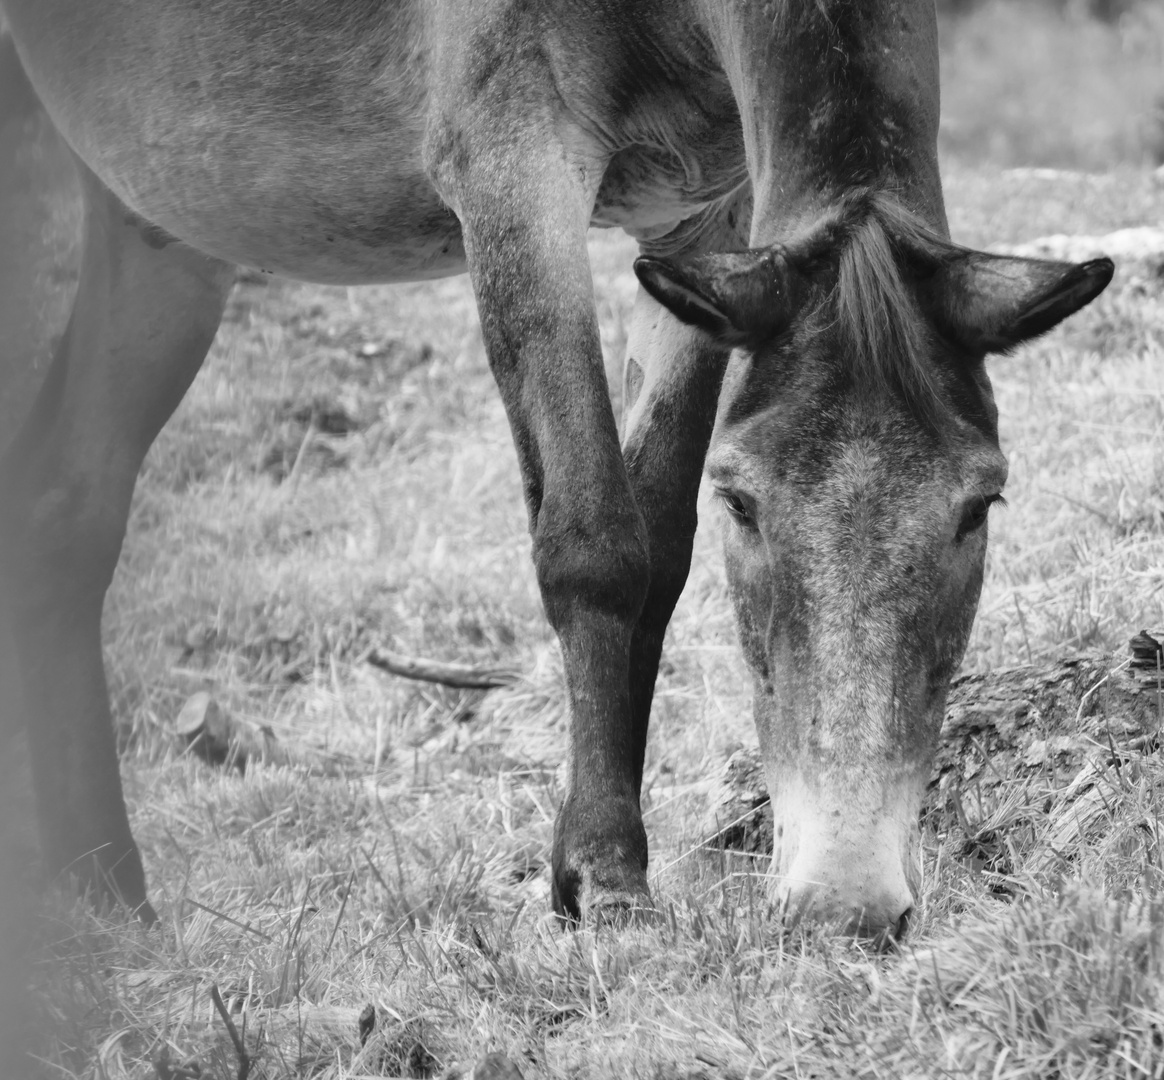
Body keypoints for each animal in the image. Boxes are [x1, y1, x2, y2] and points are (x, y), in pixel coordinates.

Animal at [0, 2, 1108, 935]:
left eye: (980, 504)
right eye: (745, 503)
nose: (846, 905)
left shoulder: (703, 216)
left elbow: (656, 542)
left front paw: (582, 866)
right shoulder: (515, 172)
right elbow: (595, 543)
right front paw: (610, 878)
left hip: (156, 242)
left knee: (62, 511)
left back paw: (107, 896)